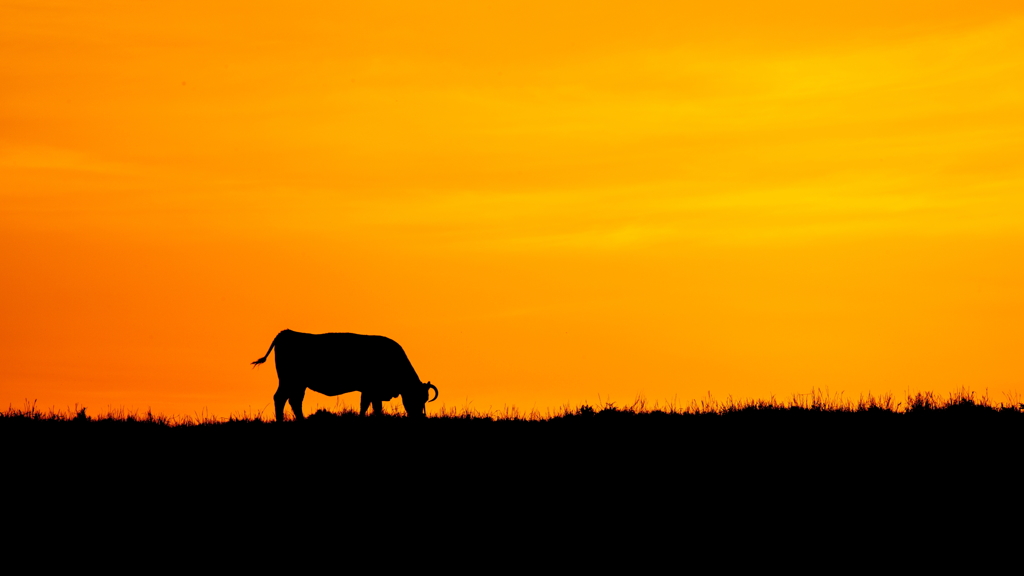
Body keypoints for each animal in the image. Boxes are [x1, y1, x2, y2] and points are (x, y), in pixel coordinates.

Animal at [252, 330, 440, 420]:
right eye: (416, 397)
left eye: (424, 399)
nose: (418, 416)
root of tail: (286, 333)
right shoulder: (372, 390)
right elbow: (373, 406)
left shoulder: (368, 391)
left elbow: (366, 405)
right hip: (289, 381)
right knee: (281, 398)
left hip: (299, 384)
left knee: (294, 401)